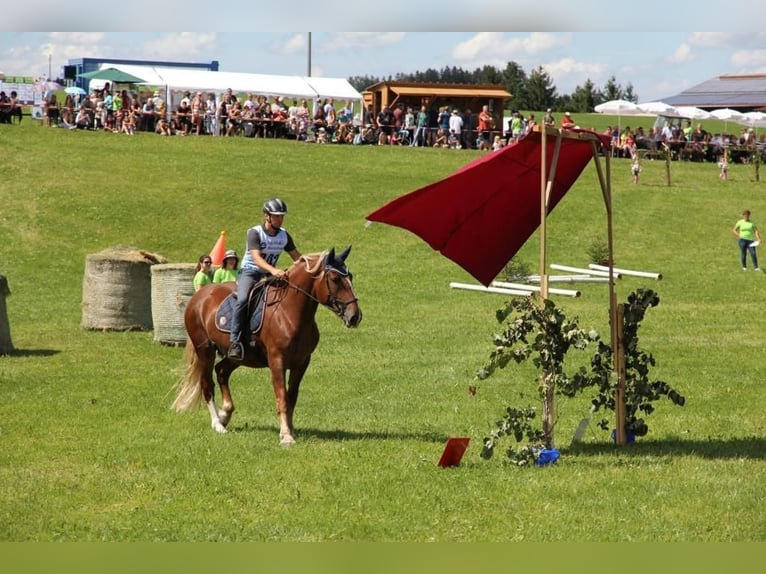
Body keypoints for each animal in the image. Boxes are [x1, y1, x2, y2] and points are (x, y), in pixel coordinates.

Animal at [173, 248, 364, 446]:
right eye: (334, 279)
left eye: (350, 276)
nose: (355, 316)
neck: (290, 311)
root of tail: (199, 297)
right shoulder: (277, 361)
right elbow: (282, 398)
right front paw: (285, 436)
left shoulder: (302, 362)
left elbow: (291, 398)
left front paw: (290, 430)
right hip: (205, 350)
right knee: (207, 384)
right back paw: (218, 424)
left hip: (239, 356)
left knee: (222, 371)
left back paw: (225, 413)